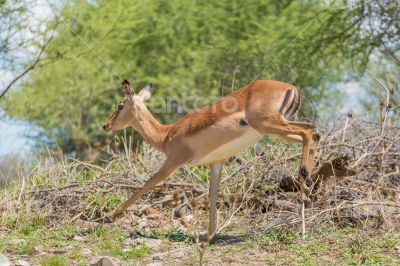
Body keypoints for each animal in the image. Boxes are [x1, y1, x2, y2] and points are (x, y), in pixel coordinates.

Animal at [104, 78, 318, 241]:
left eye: (119, 105)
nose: (106, 125)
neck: (166, 135)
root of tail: (290, 88)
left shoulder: (172, 163)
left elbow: (145, 185)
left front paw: (108, 216)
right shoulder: (216, 164)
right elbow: (213, 194)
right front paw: (210, 236)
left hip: (270, 125)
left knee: (309, 130)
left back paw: (305, 181)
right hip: (276, 128)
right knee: (314, 134)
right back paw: (307, 190)